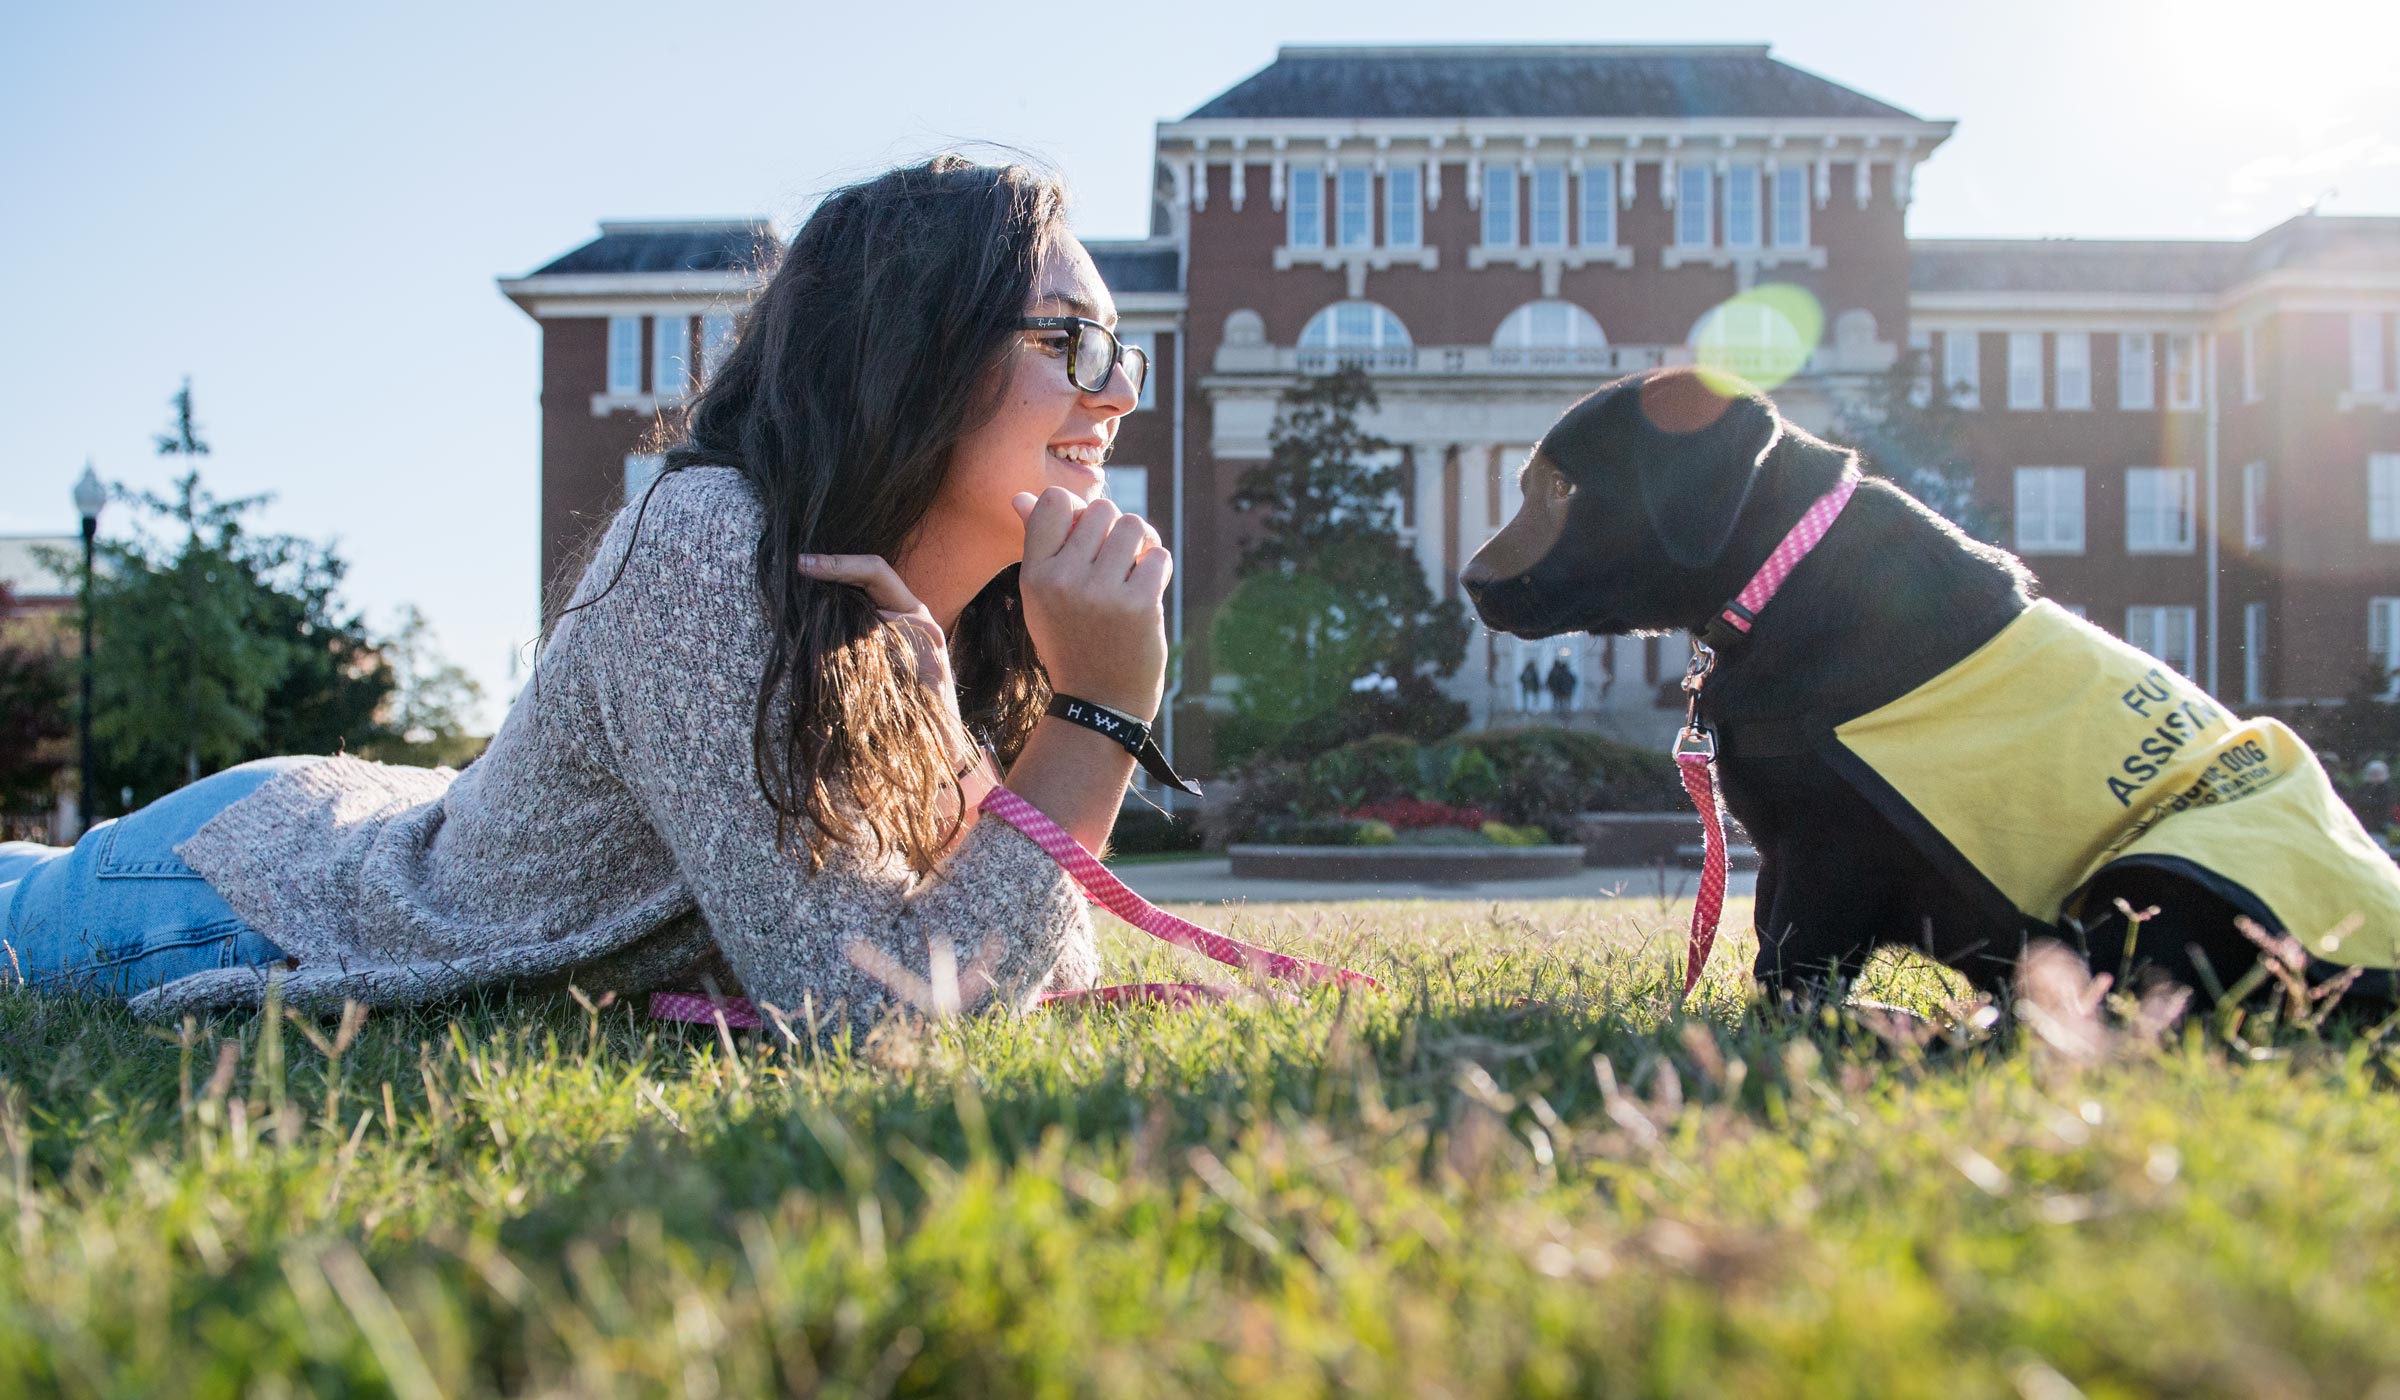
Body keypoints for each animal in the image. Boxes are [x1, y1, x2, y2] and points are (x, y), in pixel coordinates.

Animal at [1459, 367, 2400, 1003]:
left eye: (1564, 485)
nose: (1468, 582)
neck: (1781, 572)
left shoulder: (1830, 850)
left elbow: (1789, 969)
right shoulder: (1781, 848)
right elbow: (1770, 947)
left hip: (2147, 883)